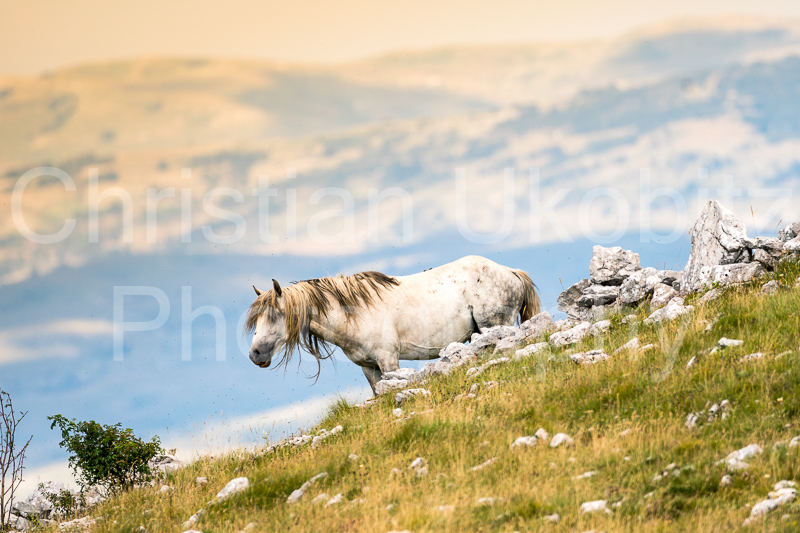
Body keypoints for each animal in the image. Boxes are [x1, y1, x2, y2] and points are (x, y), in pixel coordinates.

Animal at [245, 255, 540, 394]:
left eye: (277, 314)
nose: (255, 354)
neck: (354, 313)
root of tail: (510, 271)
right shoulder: (369, 367)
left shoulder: (388, 360)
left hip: (495, 328)